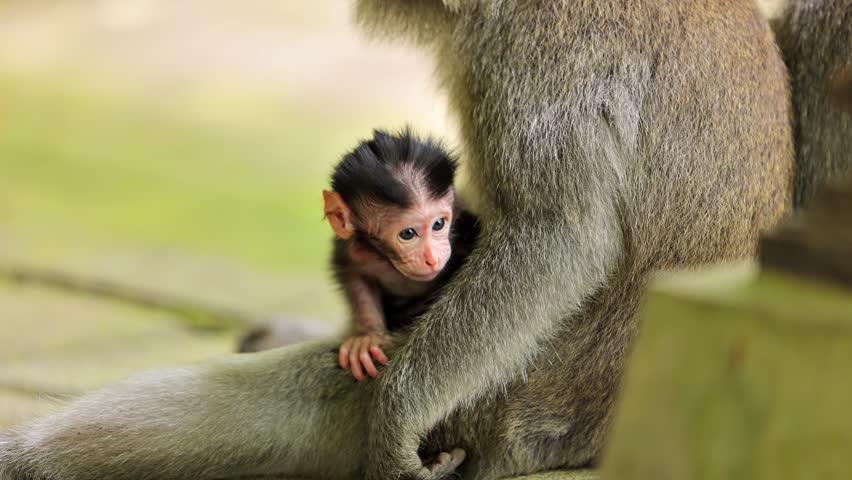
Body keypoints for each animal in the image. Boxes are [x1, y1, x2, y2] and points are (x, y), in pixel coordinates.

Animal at [324, 129, 479, 381]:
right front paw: (369, 336)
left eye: (439, 224)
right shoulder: (355, 251)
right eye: (408, 234)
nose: (431, 258)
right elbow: (354, 276)